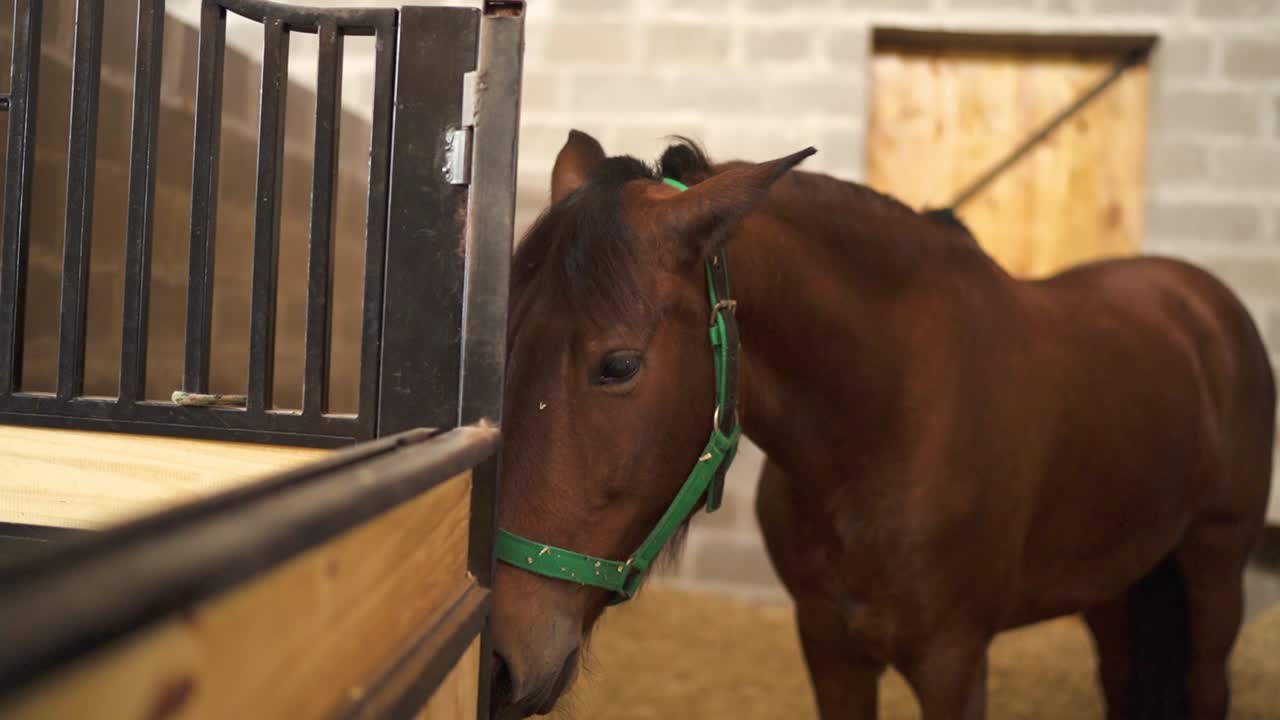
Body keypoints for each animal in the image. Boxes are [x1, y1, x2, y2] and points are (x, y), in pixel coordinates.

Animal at [489, 128, 1275, 720]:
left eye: (618, 365)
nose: (497, 663)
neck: (883, 426)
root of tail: (1202, 301)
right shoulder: (830, 647)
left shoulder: (953, 661)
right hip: (1113, 583)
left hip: (1216, 564)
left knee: (1208, 682)